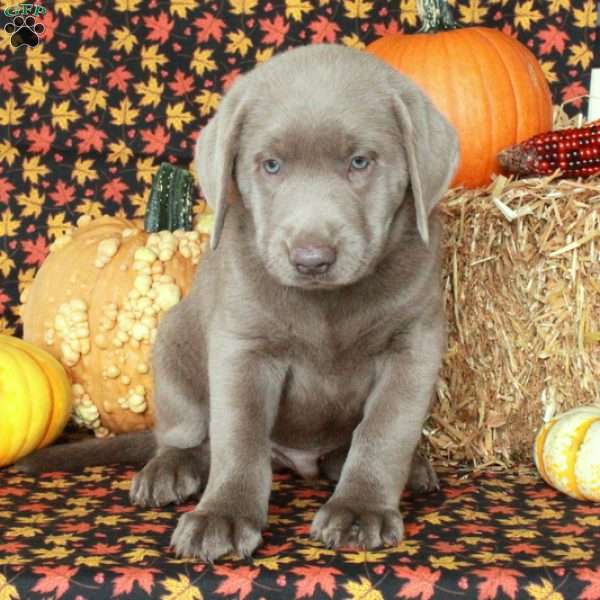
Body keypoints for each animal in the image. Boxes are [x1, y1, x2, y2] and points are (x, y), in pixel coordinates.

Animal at [18, 43, 460, 564]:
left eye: (359, 162)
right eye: (270, 165)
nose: (312, 259)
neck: (327, 305)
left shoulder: (414, 346)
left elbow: (385, 430)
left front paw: (361, 508)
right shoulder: (243, 348)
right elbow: (239, 437)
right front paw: (223, 516)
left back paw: (405, 470)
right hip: (172, 345)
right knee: (186, 436)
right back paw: (168, 470)